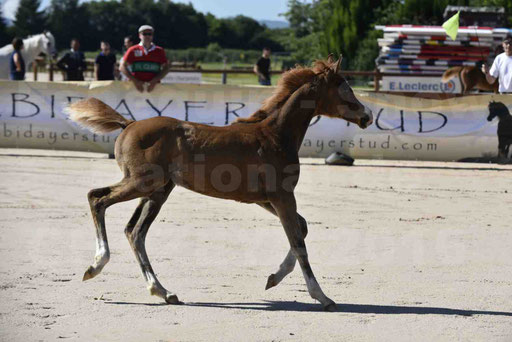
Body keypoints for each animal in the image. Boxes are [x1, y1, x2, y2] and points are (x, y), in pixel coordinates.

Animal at [67, 54, 372, 312]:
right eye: (344, 89)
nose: (367, 115)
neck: (275, 135)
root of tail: (128, 124)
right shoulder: (283, 196)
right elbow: (298, 242)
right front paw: (322, 296)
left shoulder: (266, 199)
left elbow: (302, 228)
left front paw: (273, 278)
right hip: (142, 182)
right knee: (97, 198)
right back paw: (96, 265)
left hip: (159, 190)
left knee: (135, 231)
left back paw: (163, 291)